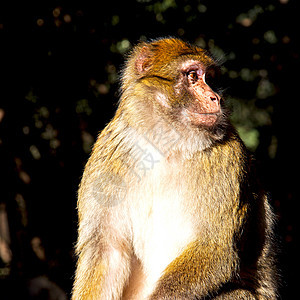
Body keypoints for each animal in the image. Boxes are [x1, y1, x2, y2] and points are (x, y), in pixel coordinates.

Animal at [72, 38, 278, 300]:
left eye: (210, 78)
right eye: (193, 76)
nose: (215, 98)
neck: (166, 144)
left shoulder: (228, 158)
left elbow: (214, 246)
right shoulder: (108, 153)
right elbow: (107, 250)